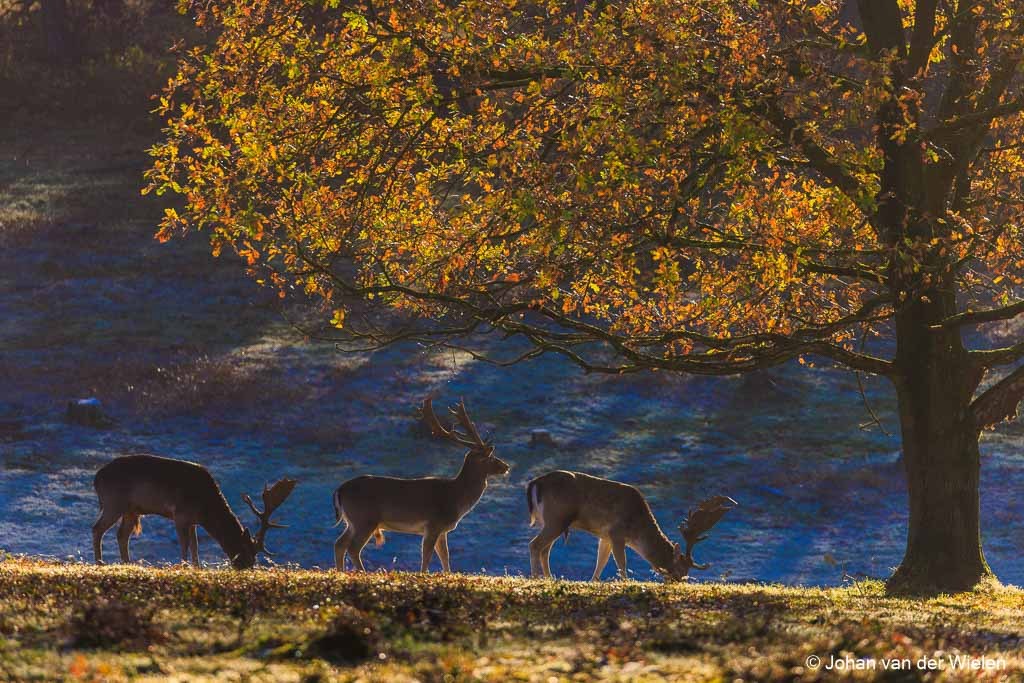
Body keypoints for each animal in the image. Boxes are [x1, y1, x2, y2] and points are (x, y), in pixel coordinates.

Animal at [92, 454, 296, 573]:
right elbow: (185, 544)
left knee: (121, 534)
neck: (205, 508)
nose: (245, 569)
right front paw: (183, 566)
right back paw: (100, 562)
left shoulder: (193, 521)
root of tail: (96, 478)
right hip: (113, 503)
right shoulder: (180, 515)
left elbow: (195, 546)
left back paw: (128, 563)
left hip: (131, 509)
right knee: (97, 529)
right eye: (246, 552)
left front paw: (196, 567)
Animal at [333, 397, 509, 573]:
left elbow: (445, 557)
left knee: (339, 543)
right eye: (490, 457)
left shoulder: (442, 530)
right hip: (365, 519)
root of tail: (339, 490)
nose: (506, 466)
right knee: (353, 548)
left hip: (352, 522)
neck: (456, 497)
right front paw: (423, 574)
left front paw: (447, 574)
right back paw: (362, 572)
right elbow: (427, 555)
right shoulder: (433, 524)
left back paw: (341, 572)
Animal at [524, 471, 733, 581]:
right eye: (681, 571)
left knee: (544, 549)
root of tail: (535, 483)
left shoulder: (605, 536)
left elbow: (601, 563)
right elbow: (622, 564)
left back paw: (549, 578)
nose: (678, 583)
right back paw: (535, 579)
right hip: (556, 518)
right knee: (535, 545)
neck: (637, 531)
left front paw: (593, 582)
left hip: (554, 522)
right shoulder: (616, 533)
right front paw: (625, 583)